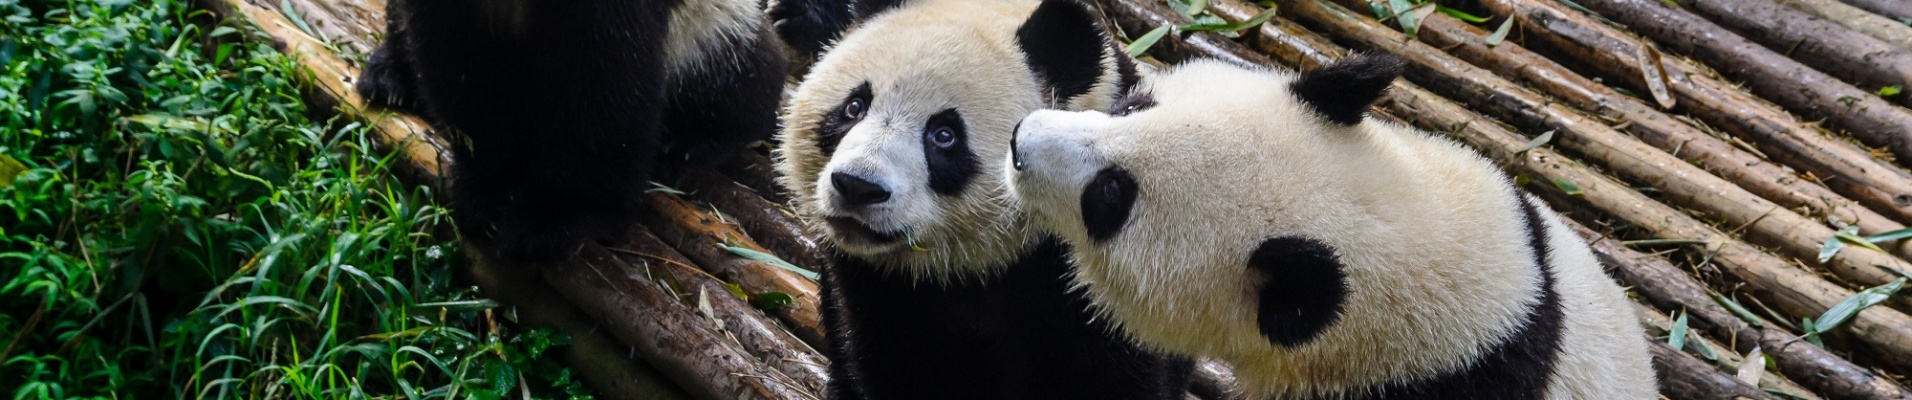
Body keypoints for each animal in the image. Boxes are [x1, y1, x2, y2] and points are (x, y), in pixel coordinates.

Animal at [359, 0, 783, 262]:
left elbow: (602, 82)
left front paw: (554, 218)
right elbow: (462, 67)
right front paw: (488, 191)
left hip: (711, 31)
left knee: (742, 72)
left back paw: (702, 139)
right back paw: (388, 76)